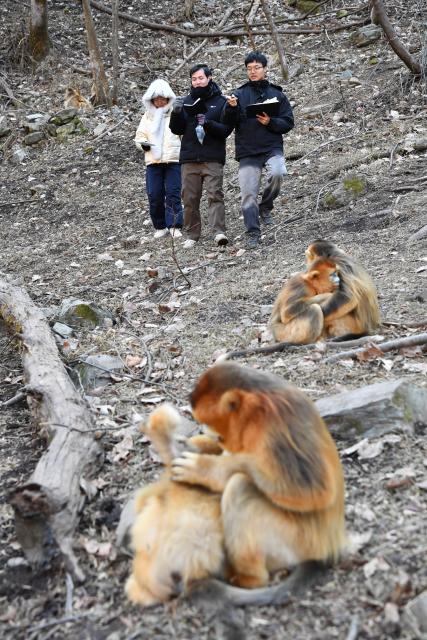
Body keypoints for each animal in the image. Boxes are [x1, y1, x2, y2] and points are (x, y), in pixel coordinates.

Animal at [172, 363, 347, 606]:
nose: (209, 433)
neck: (254, 410)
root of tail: (329, 545)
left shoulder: (274, 431)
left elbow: (315, 492)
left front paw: (205, 468)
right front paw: (193, 444)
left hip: (296, 540)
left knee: (240, 488)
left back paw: (246, 580)